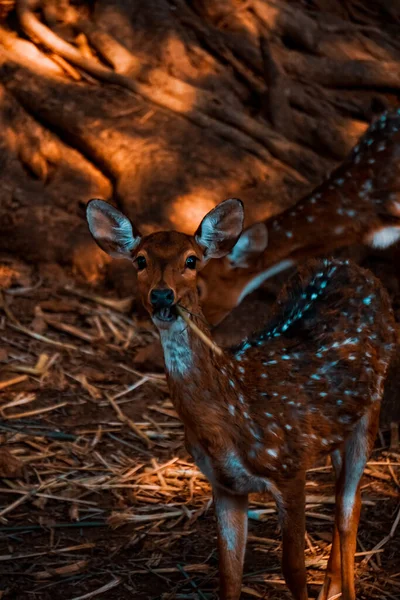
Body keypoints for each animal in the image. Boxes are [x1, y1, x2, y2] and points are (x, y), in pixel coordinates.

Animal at [86, 199, 396, 600]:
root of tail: (348, 265)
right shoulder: (224, 483)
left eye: (191, 260)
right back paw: (330, 586)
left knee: (346, 507)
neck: (232, 413)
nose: (162, 296)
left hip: (372, 404)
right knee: (350, 499)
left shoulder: (289, 467)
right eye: (140, 260)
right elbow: (229, 575)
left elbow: (293, 569)